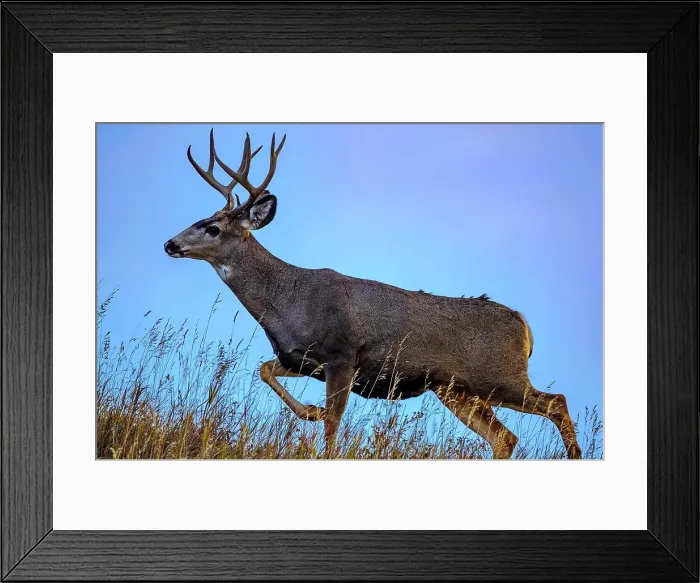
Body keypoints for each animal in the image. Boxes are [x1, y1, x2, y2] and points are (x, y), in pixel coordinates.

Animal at [164, 130, 583, 460]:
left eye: (213, 227)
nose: (170, 244)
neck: (288, 302)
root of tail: (525, 327)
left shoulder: (342, 355)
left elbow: (333, 423)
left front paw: (319, 426)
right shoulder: (300, 359)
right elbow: (265, 369)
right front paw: (309, 411)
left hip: (497, 376)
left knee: (556, 403)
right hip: (457, 391)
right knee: (505, 438)